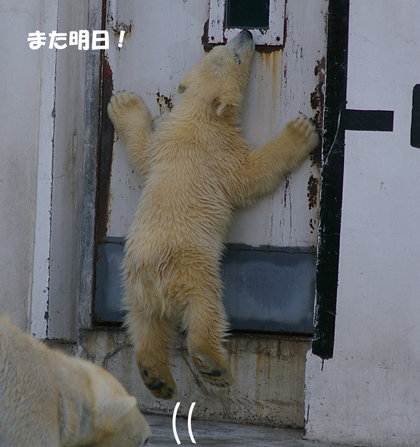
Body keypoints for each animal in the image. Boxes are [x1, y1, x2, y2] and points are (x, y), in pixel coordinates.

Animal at [108, 29, 318, 400]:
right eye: (234, 57)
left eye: (218, 51)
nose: (245, 33)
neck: (199, 117)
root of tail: (157, 283)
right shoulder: (223, 153)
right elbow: (253, 174)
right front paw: (301, 132)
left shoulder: (163, 143)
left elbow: (142, 150)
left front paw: (123, 103)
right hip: (194, 271)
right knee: (205, 312)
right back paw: (212, 365)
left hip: (133, 285)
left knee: (144, 324)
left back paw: (156, 377)